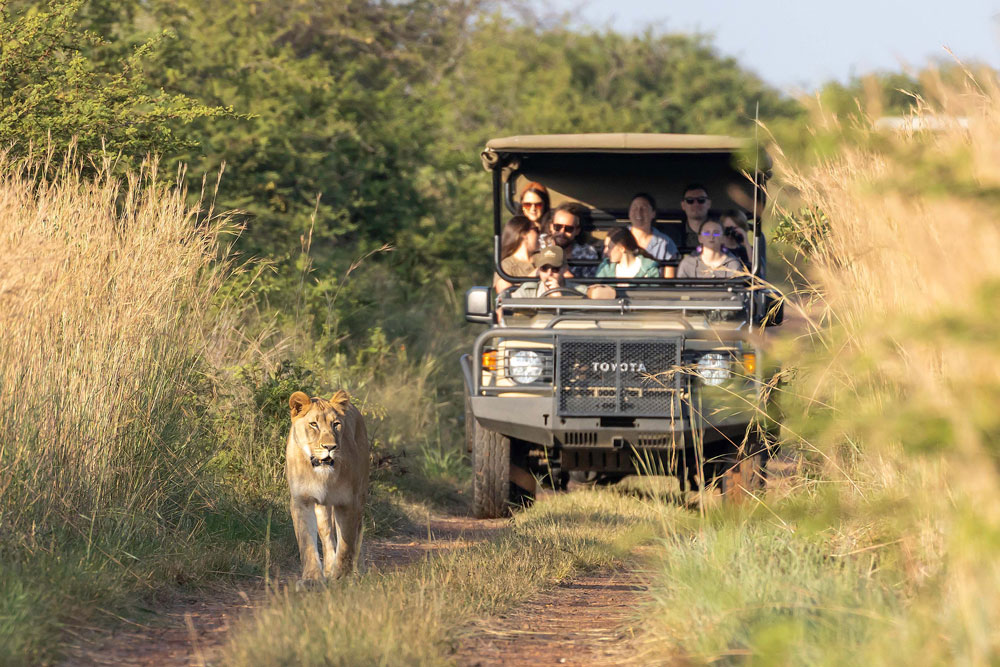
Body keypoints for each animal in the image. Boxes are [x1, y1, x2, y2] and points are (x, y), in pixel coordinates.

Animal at [286, 389, 370, 585]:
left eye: (336, 424)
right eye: (313, 424)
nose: (330, 446)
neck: (322, 475)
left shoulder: (347, 502)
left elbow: (346, 544)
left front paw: (342, 577)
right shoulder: (302, 501)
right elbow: (307, 543)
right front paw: (312, 579)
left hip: (360, 496)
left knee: (357, 532)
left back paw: (357, 570)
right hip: (323, 508)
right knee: (327, 536)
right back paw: (329, 568)